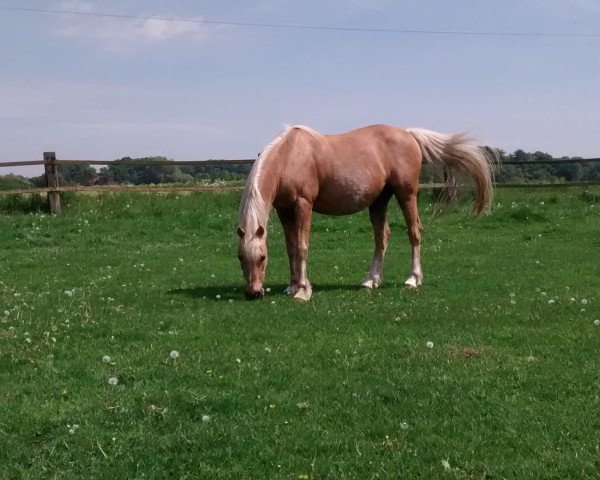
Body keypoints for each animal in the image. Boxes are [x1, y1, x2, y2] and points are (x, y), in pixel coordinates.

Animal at [237, 125, 494, 302]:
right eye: (240, 257)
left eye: (262, 257)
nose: (253, 293)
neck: (290, 155)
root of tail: (409, 134)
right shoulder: (284, 209)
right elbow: (290, 247)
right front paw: (292, 286)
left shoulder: (303, 204)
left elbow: (301, 247)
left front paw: (302, 290)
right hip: (379, 201)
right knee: (382, 237)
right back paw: (371, 281)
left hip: (406, 194)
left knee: (414, 232)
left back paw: (413, 279)